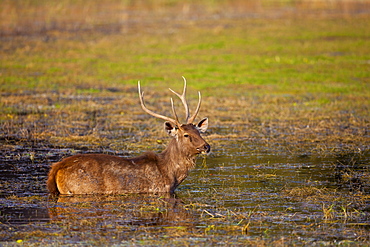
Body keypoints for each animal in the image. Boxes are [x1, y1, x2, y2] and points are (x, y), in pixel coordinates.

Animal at [46, 77, 210, 195]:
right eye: (186, 135)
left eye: (199, 131)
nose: (206, 147)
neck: (171, 175)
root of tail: (56, 168)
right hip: (77, 188)